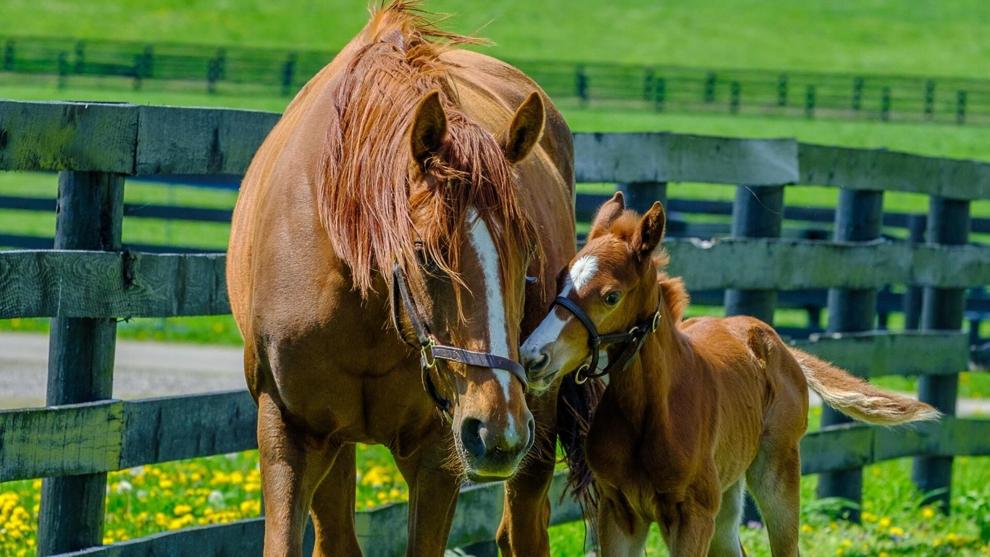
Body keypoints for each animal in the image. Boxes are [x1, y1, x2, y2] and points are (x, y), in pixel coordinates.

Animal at [226, 3, 576, 555]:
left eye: (528, 257)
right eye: (423, 255)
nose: (496, 430)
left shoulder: (436, 452)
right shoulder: (290, 432)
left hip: (537, 417)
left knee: (523, 527)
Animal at [519, 193, 940, 557]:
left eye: (611, 296)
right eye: (559, 280)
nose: (532, 356)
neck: (652, 413)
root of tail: (774, 339)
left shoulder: (692, 515)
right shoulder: (619, 511)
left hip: (777, 471)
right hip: (727, 496)